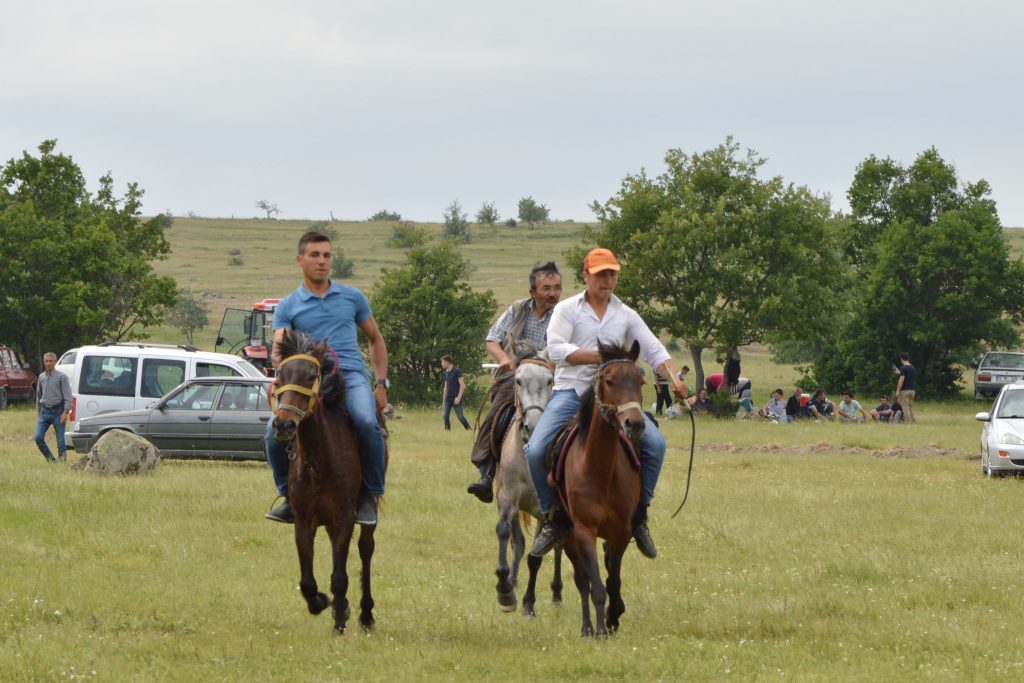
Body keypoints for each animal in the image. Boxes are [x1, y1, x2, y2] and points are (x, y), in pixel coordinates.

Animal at [272, 327, 380, 634]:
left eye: (311, 376)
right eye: (280, 375)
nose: (284, 425)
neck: (318, 460)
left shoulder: (343, 518)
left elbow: (340, 576)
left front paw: (340, 620)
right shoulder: (303, 520)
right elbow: (308, 581)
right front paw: (321, 602)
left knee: (365, 550)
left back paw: (366, 615)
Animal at [491, 348, 565, 614]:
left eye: (550, 380)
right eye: (518, 380)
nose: (531, 426)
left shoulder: (547, 510)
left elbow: (536, 557)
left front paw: (529, 604)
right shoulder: (507, 498)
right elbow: (507, 535)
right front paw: (505, 589)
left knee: (557, 546)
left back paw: (556, 593)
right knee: (519, 542)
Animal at [565, 339, 643, 638]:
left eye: (641, 381)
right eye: (609, 381)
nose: (635, 424)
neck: (600, 470)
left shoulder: (622, 532)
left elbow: (613, 579)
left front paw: (613, 617)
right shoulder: (584, 531)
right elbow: (595, 585)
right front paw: (599, 629)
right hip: (567, 536)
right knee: (582, 580)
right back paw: (587, 627)